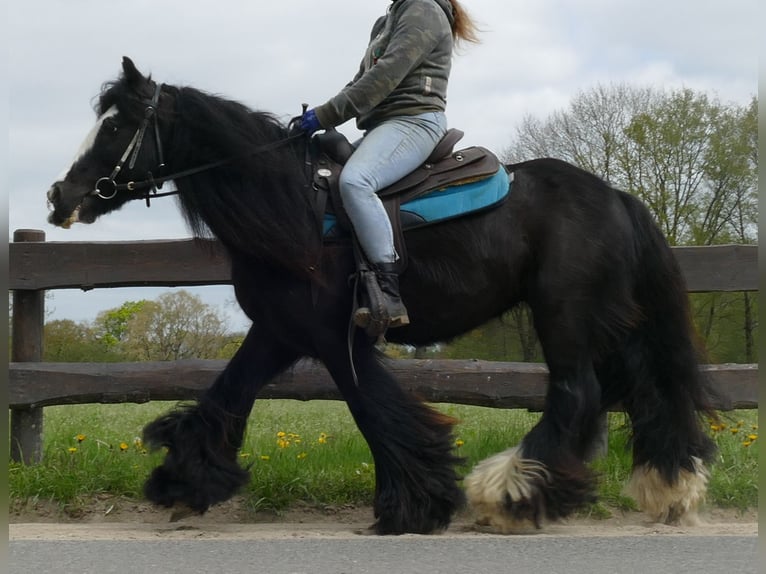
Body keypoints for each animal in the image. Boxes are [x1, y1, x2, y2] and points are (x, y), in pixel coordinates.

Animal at [46, 57, 719, 534]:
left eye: (115, 125)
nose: (58, 197)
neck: (293, 208)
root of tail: (616, 197)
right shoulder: (278, 331)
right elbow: (227, 394)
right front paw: (185, 483)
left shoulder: (331, 335)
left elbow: (372, 410)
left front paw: (414, 505)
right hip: (610, 320)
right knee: (644, 390)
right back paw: (668, 486)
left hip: (566, 315)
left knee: (577, 396)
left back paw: (506, 494)